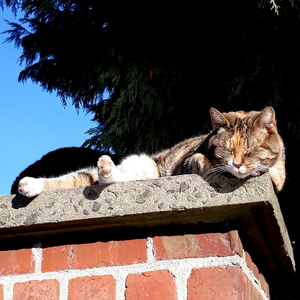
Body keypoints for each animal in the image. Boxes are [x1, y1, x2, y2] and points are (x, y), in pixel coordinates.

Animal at [18, 106, 286, 198]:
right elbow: (201, 163)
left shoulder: (277, 175)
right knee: (84, 177)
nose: (238, 164)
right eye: (226, 149)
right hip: (144, 164)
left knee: (104, 178)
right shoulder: (189, 161)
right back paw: (31, 184)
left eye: (250, 150)